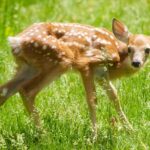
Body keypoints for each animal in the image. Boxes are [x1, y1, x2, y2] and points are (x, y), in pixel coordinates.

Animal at [0, 18, 149, 139]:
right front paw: (94, 138)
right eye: (130, 48)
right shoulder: (86, 64)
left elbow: (114, 97)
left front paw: (131, 131)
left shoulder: (101, 75)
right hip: (59, 59)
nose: (136, 63)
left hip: (29, 66)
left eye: (147, 50)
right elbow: (92, 99)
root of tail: (16, 41)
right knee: (28, 90)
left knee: (6, 90)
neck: (118, 55)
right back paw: (44, 136)